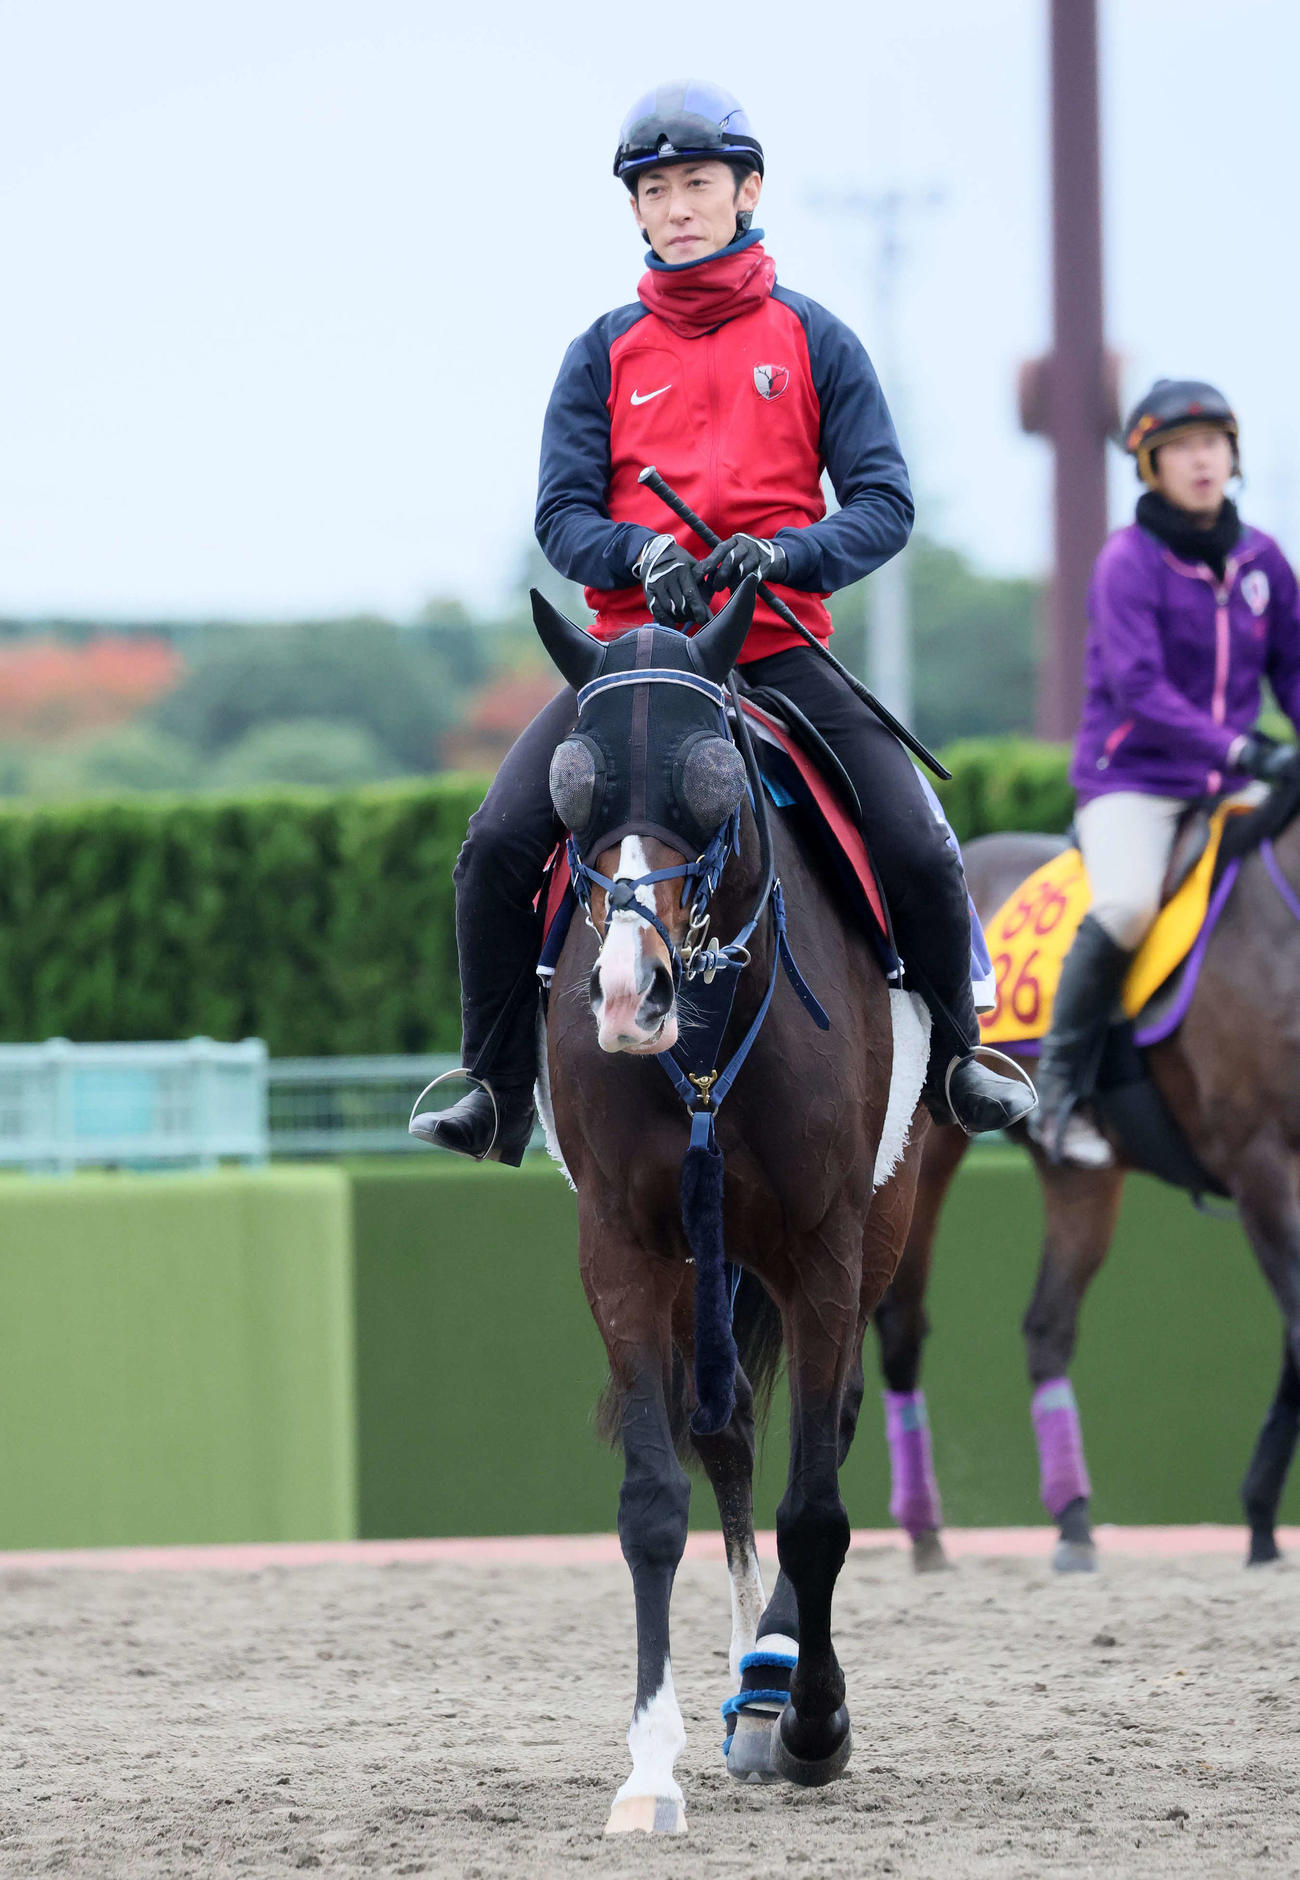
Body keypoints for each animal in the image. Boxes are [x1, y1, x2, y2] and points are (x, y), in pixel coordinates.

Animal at [529, 578, 933, 1832]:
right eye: (570, 786)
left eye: (712, 778)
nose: (626, 991)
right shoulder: (622, 1247)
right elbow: (655, 1499)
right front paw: (649, 1767)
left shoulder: (823, 1245)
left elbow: (818, 1507)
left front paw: (812, 1721)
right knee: (725, 1432)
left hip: (877, 1224)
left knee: (828, 1429)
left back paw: (775, 1682)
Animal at [872, 779, 1300, 1572]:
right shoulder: (1261, 1163)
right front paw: (1260, 1517)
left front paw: (1260, 1520)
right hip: (921, 1151)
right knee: (898, 1320)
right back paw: (923, 1529)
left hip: (1080, 1177)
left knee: (1047, 1324)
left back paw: (1072, 1519)